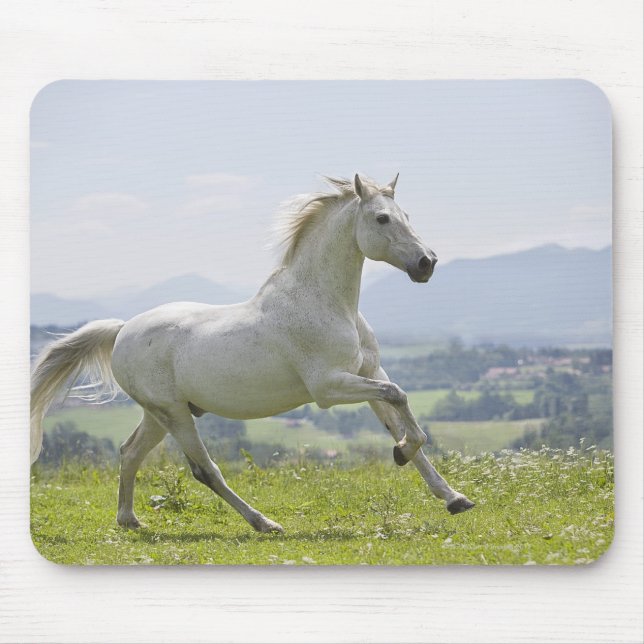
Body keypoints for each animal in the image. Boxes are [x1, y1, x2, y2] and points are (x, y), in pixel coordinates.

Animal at [30, 173, 474, 533]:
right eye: (382, 219)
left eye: (406, 214)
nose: (426, 263)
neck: (326, 303)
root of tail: (123, 330)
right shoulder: (329, 388)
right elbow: (401, 400)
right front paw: (403, 455)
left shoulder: (371, 374)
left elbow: (402, 417)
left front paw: (452, 497)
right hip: (172, 414)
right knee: (204, 470)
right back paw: (264, 523)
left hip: (159, 414)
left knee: (129, 453)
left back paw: (129, 520)